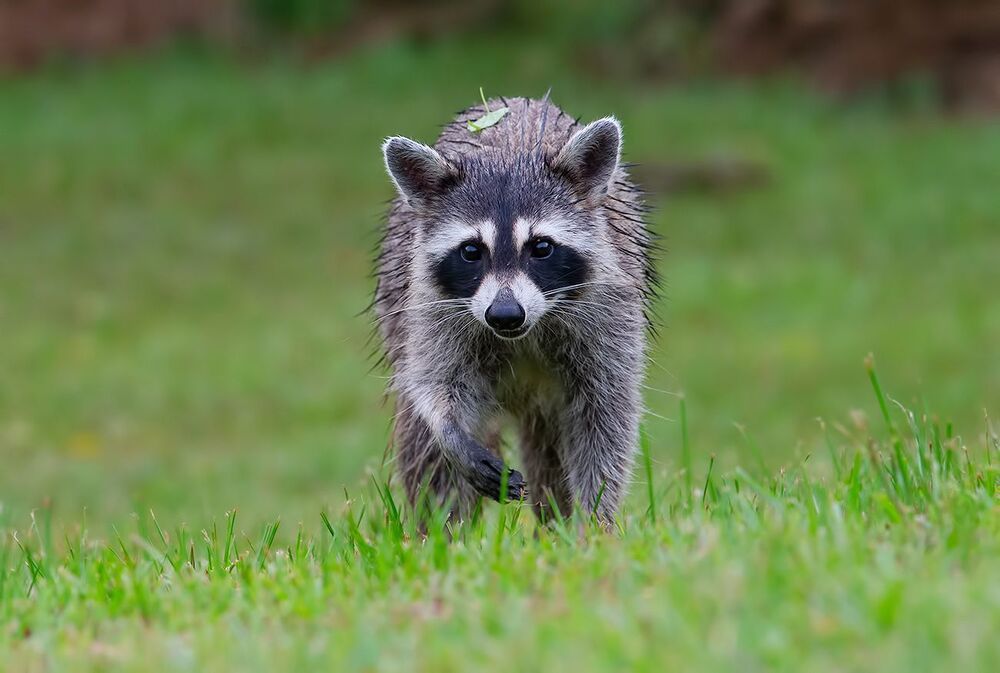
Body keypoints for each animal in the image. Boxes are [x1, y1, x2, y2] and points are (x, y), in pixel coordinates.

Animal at [374, 96, 656, 525]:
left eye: (541, 247)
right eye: (471, 251)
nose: (505, 315)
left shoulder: (609, 310)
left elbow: (607, 418)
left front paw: (595, 523)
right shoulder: (429, 304)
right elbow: (434, 381)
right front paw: (449, 430)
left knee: (551, 458)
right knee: (422, 448)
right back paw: (444, 531)